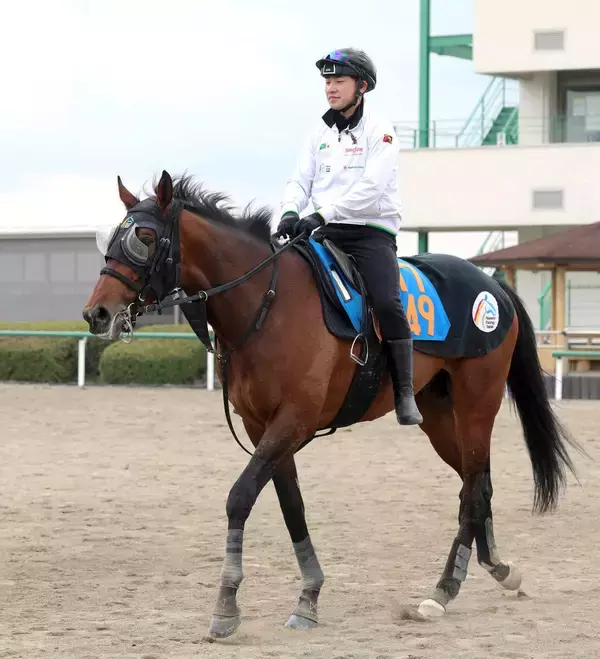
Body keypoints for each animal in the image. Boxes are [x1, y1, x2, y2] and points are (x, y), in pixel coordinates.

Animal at [82, 170, 580, 639]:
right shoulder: (263, 427)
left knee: (474, 487)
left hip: (478, 405)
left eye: (145, 239)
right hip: (439, 416)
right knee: (478, 485)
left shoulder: (293, 421)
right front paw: (309, 596)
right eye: (112, 240)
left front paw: (226, 607)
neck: (267, 303)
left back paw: (443, 590)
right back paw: (498, 567)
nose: (97, 313)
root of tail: (492, 285)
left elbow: (239, 497)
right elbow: (292, 506)